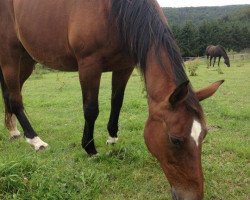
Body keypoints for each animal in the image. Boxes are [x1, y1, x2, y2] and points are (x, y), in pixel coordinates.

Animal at [0, 0, 224, 199]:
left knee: (10, 95)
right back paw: (34, 140)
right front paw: (90, 148)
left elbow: (117, 102)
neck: (114, 11)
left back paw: (13, 131)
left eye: (203, 135)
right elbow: (91, 109)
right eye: (175, 139)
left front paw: (112, 137)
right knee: (16, 98)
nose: (193, 196)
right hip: (10, 55)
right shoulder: (89, 64)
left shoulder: (124, 67)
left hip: (26, 59)